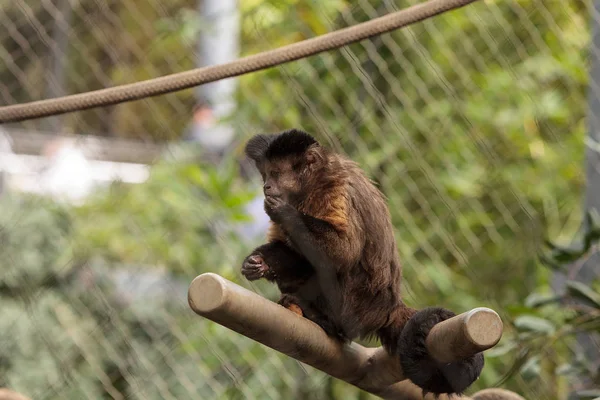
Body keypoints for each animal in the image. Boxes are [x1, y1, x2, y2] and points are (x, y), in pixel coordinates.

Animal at [239, 130, 482, 396]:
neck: (311, 186)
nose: (266, 186)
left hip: (353, 307)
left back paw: (326, 321)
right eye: (265, 174)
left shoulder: (335, 191)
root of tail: (387, 309)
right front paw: (258, 263)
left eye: (275, 173)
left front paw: (284, 213)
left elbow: (343, 252)